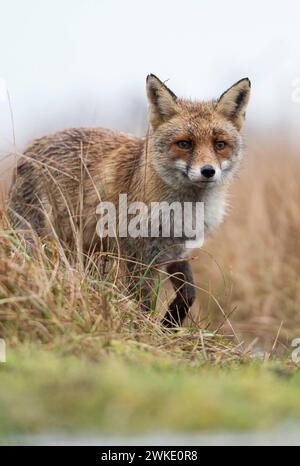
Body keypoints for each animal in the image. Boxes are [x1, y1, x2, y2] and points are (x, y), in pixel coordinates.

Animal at [8, 73, 251, 328]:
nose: (208, 171)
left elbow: (188, 294)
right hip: (39, 238)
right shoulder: (138, 255)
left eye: (219, 144)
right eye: (184, 144)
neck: (183, 210)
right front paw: (150, 329)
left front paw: (170, 323)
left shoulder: (176, 250)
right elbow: (143, 304)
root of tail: (28, 150)